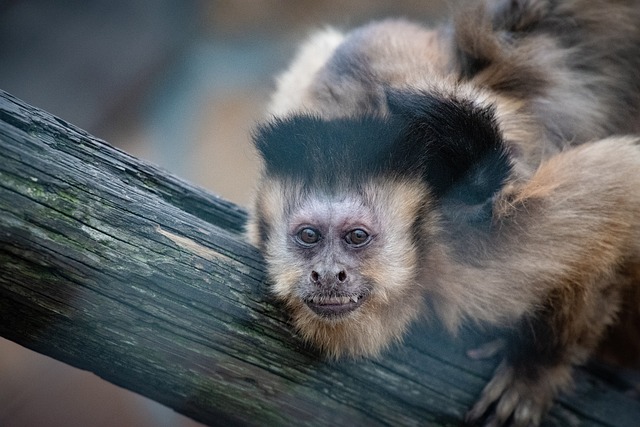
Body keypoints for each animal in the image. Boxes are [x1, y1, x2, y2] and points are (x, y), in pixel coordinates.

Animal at [248, 0, 640, 426]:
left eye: (357, 237)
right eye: (308, 236)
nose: (327, 274)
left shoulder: (479, 250)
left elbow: (620, 185)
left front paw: (536, 368)